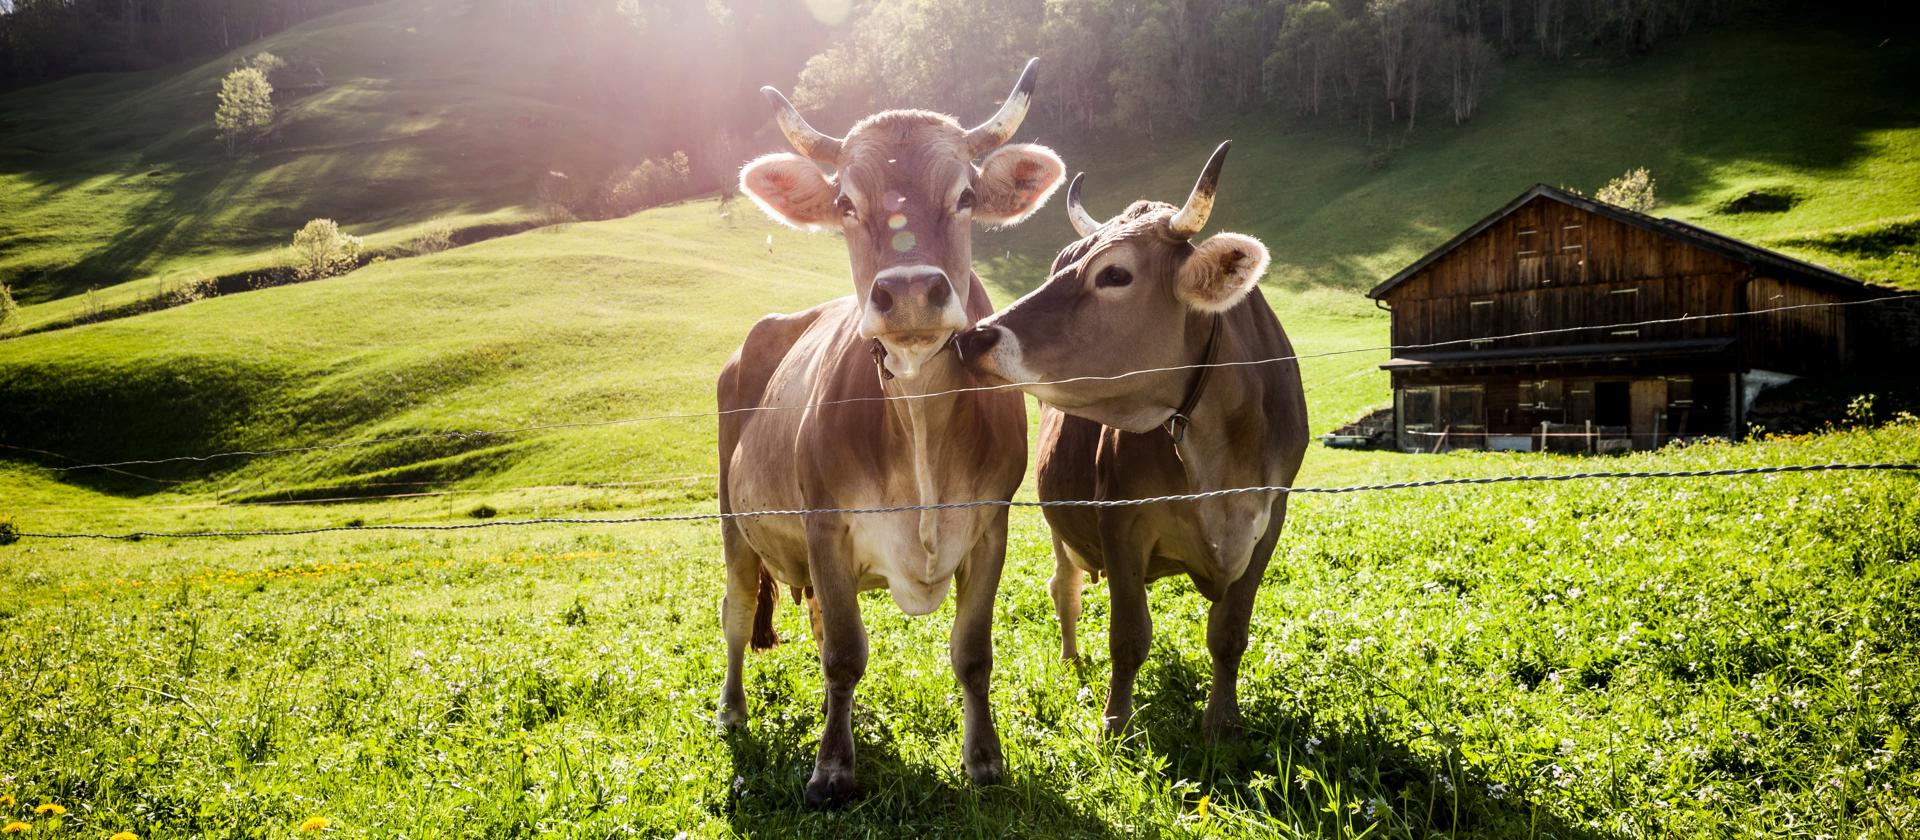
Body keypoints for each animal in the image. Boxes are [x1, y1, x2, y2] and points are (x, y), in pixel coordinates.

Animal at [716, 61, 1066, 805]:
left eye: (966, 194)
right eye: (845, 202)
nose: (907, 292)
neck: (919, 418)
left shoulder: (990, 525)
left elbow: (972, 652)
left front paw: (984, 759)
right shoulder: (824, 524)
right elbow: (846, 654)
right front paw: (831, 769)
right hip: (735, 521)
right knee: (737, 609)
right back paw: (732, 710)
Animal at [954, 142, 1308, 740]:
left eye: (1115, 274)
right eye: (1061, 263)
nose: (973, 336)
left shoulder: (1269, 518)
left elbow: (1229, 633)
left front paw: (1222, 721)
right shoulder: (1119, 518)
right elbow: (1129, 636)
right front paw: (1114, 725)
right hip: (1061, 521)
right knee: (1064, 588)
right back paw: (1072, 661)